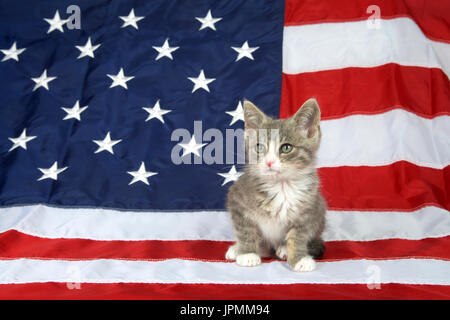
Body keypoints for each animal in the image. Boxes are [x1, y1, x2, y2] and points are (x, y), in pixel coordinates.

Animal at [227, 98, 326, 272]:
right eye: (259, 147)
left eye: (286, 147)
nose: (269, 162)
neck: (281, 186)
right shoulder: (237, 200)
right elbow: (245, 230)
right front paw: (247, 253)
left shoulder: (309, 208)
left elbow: (298, 235)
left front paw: (299, 258)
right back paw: (238, 248)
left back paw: (283, 248)